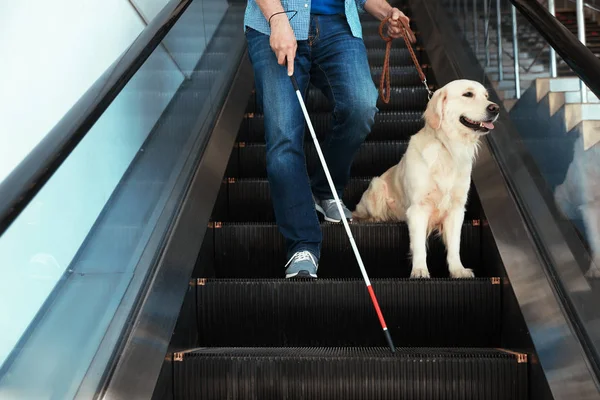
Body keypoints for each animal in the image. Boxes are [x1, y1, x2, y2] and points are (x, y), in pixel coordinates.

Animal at [354, 78, 500, 278]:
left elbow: (454, 245)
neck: (448, 148)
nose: (495, 108)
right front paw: (420, 270)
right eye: (468, 94)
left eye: (486, 96)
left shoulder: (456, 209)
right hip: (376, 186)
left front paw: (458, 270)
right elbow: (419, 246)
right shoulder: (418, 208)